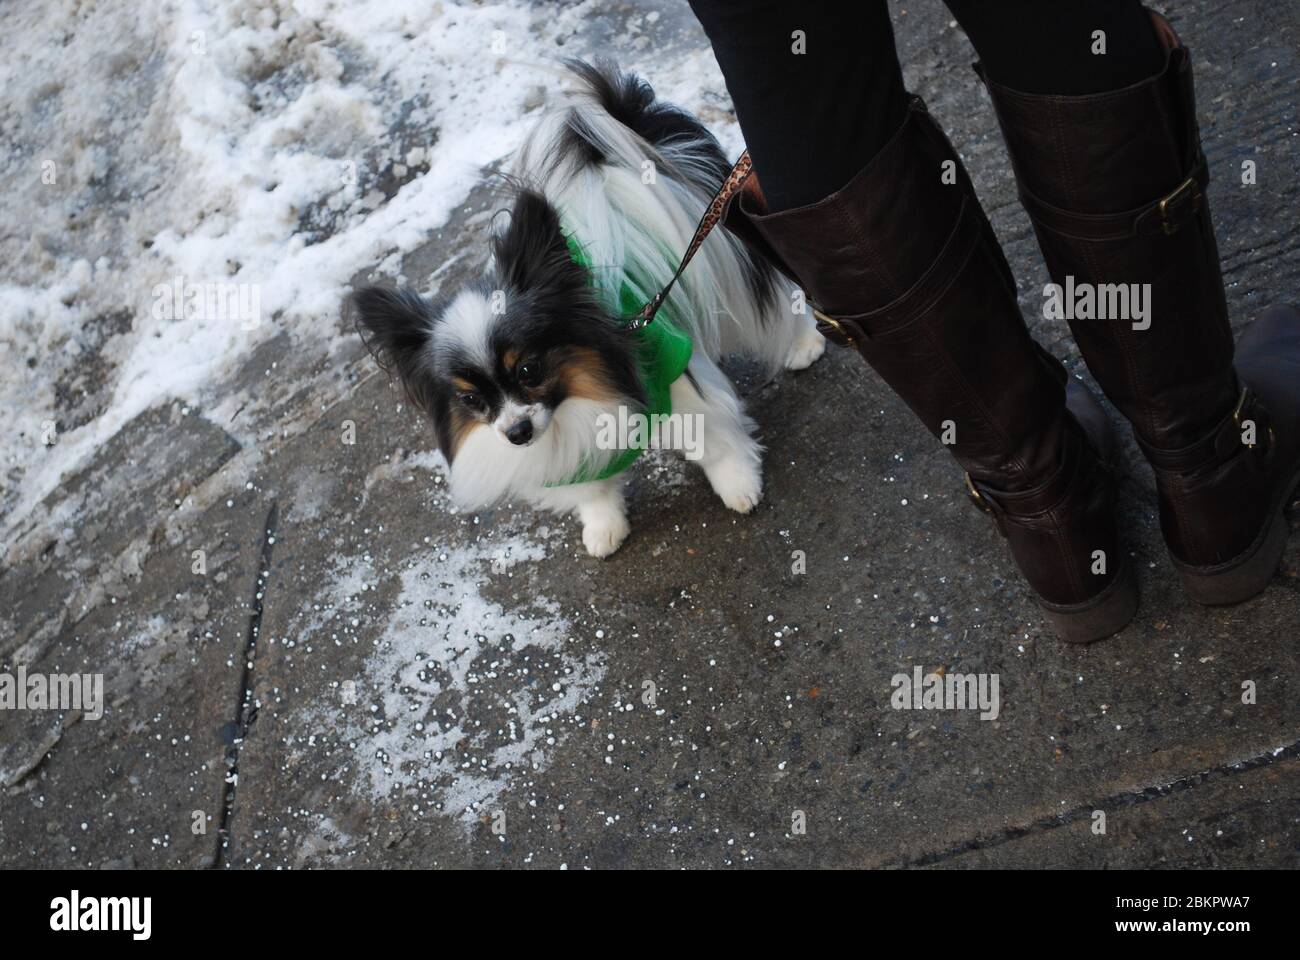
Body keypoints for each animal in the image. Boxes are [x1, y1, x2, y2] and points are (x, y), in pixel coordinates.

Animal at [353, 57, 821, 554]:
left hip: (727, 250)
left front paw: (739, 485)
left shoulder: (674, 374)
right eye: (470, 399)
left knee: (781, 295)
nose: (516, 433)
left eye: (528, 370)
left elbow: (711, 439)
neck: (582, 390)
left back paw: (805, 343)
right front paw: (603, 527)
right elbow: (591, 487)